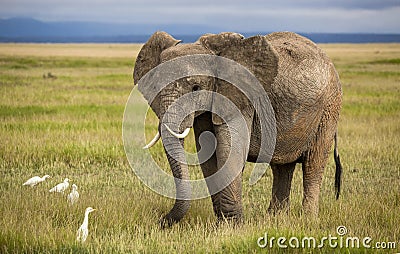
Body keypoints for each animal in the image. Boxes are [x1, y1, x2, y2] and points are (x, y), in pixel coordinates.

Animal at [133, 30, 342, 227]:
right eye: (156, 87)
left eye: (196, 88)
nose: (160, 221)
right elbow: (208, 156)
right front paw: (221, 223)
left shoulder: (241, 98)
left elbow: (229, 152)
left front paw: (232, 226)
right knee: (282, 167)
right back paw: (275, 218)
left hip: (329, 108)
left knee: (313, 164)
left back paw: (308, 220)